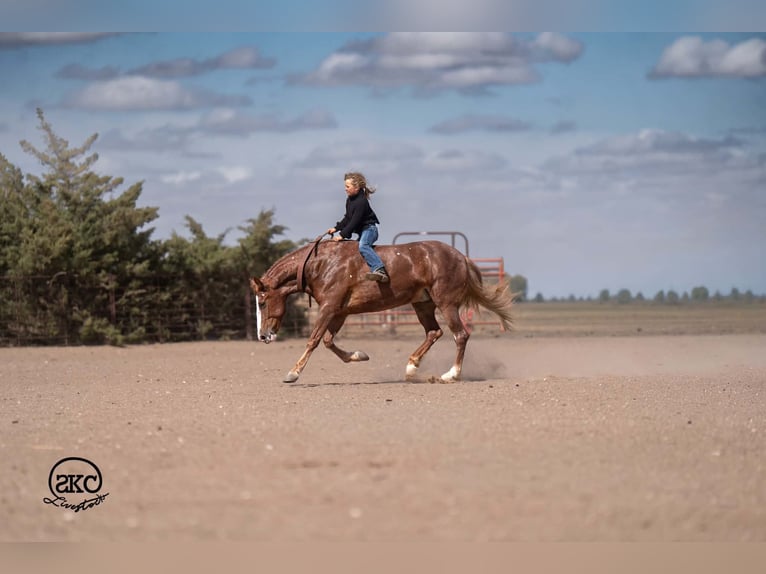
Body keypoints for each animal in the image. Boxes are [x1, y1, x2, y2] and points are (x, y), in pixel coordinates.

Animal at [249, 238, 514, 383]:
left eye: (262, 302)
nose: (262, 336)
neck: (322, 264)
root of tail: (461, 257)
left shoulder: (329, 308)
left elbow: (314, 340)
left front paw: (293, 373)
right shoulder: (339, 312)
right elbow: (328, 341)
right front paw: (358, 355)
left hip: (446, 304)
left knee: (460, 335)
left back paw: (451, 375)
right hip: (423, 305)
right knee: (433, 332)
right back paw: (411, 368)